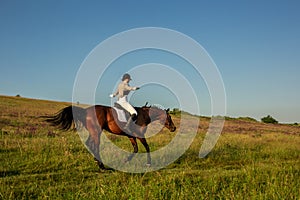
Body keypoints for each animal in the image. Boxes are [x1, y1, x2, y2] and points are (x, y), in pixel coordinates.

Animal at [46, 104, 177, 170]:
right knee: (95, 145)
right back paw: (101, 166)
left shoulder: (131, 136)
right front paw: (149, 163)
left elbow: (135, 149)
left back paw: (97, 162)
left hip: (93, 132)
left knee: (90, 144)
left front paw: (126, 160)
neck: (143, 115)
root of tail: (85, 111)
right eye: (169, 117)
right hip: (96, 132)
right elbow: (147, 148)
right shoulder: (139, 135)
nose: (174, 128)